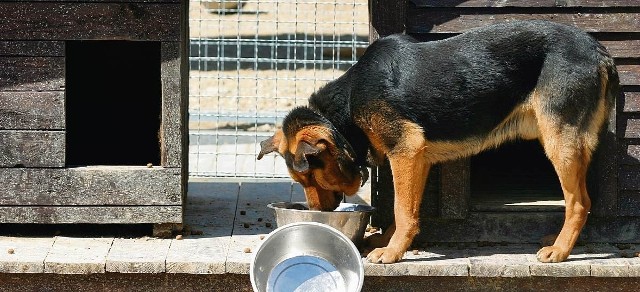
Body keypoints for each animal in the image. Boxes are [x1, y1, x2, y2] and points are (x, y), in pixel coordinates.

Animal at [256, 19, 620, 264]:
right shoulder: (418, 159)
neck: (346, 107)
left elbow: (401, 209)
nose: (316, 215)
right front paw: (391, 242)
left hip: (560, 141)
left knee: (580, 202)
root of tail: (599, 50)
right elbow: (408, 209)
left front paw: (391, 253)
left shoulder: (404, 150)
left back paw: (559, 250)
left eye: (309, 176)